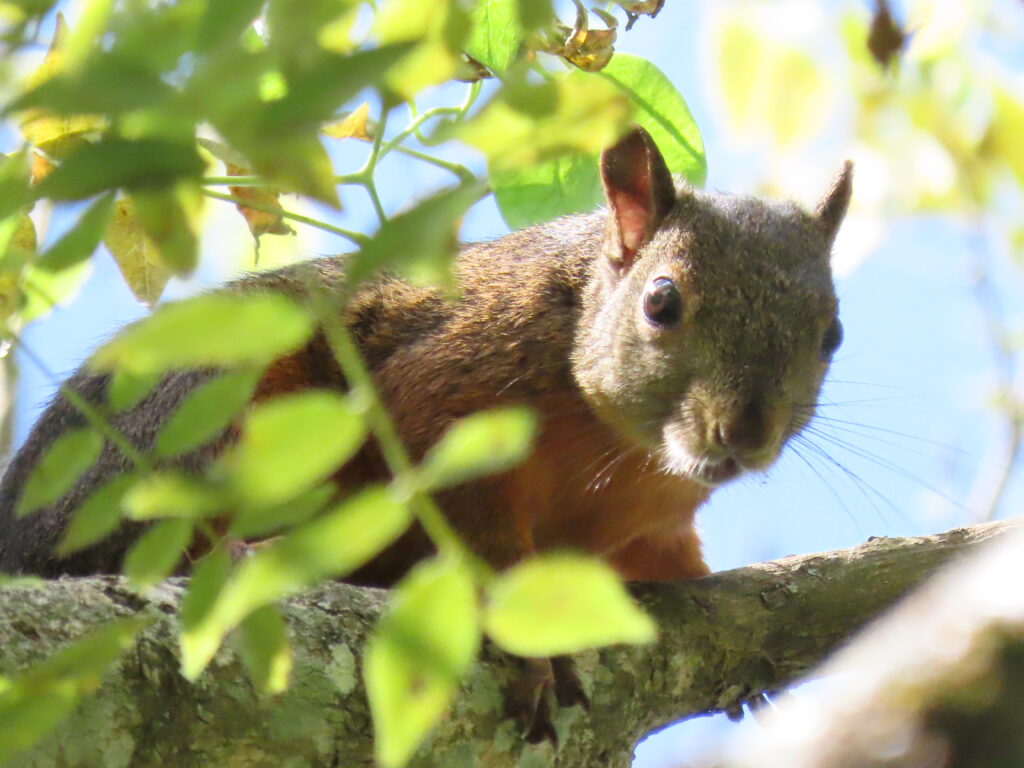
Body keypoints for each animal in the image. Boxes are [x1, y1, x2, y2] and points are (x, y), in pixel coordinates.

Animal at [0, 128, 847, 741]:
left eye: (832, 335)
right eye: (662, 302)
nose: (745, 431)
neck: (626, 458)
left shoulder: (651, 525)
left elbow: (675, 563)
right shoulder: (450, 380)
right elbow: (469, 516)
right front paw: (526, 641)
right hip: (193, 403)